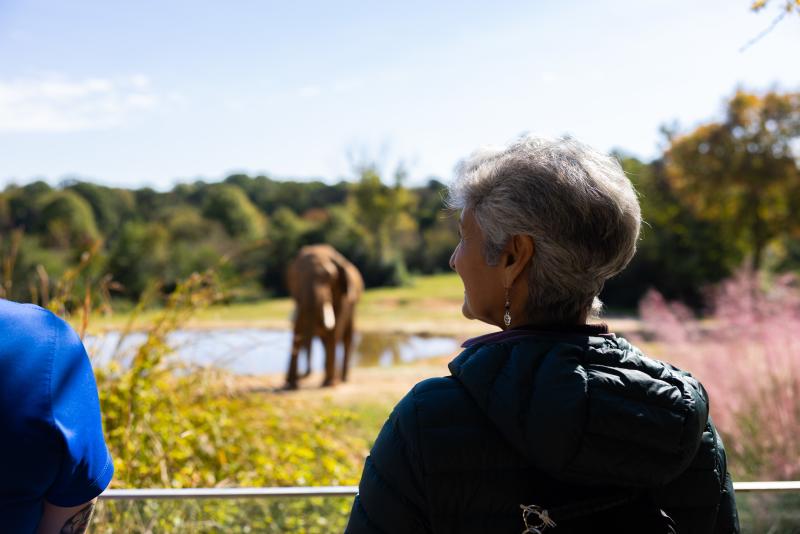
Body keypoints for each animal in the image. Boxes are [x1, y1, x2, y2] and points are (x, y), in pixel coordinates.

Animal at [284, 244, 364, 389]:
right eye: (295, 278)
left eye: (330, 277)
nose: (302, 376)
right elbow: (297, 329)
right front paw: (290, 385)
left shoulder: (343, 297)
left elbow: (335, 331)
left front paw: (329, 384)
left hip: (353, 308)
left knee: (346, 337)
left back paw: (342, 379)